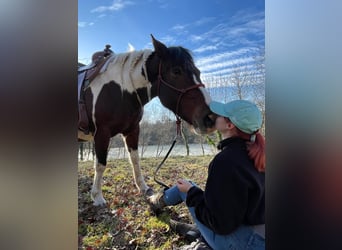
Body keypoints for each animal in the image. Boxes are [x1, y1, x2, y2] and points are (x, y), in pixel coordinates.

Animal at [78, 35, 215, 207]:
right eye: (176, 71)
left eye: (198, 72)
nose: (210, 117)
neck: (120, 89)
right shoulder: (102, 133)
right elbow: (101, 164)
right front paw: (97, 197)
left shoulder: (132, 130)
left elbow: (135, 160)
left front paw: (143, 187)